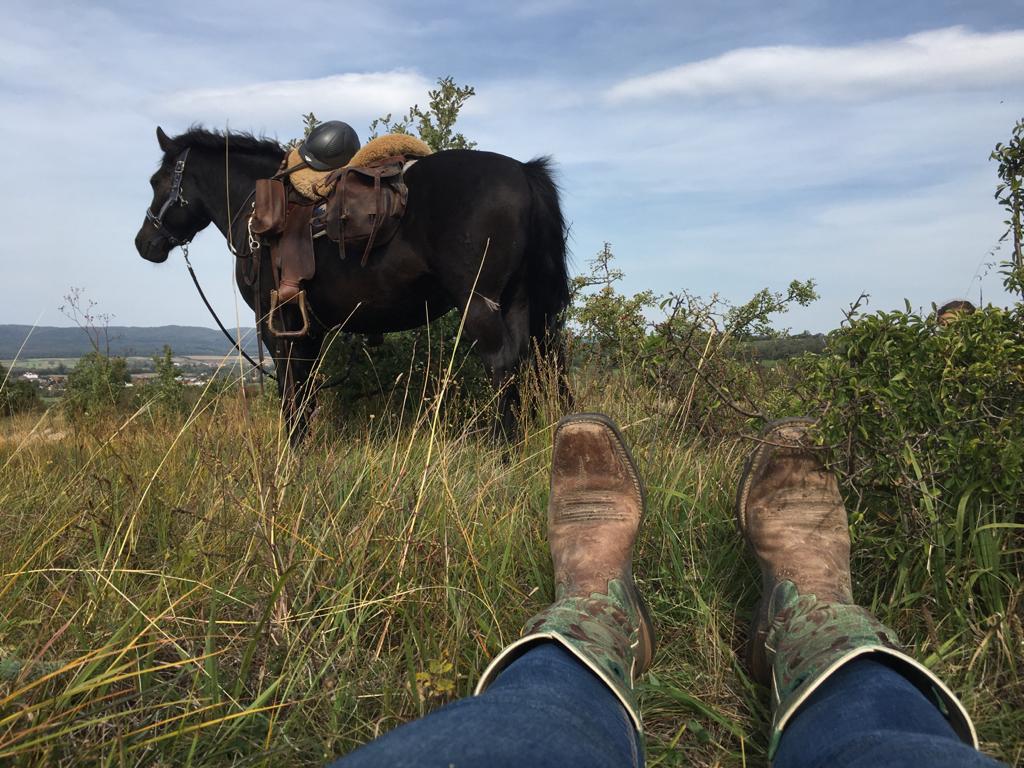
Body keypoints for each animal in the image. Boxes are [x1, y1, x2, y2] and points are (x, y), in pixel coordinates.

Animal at [132, 126, 573, 438]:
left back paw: (503, 450)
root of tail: (522, 171)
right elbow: (305, 392)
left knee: (502, 364)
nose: (144, 242)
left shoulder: (276, 323)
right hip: (519, 303)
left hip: (479, 302)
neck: (258, 204)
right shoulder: (308, 327)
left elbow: (290, 392)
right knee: (531, 362)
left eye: (156, 181)